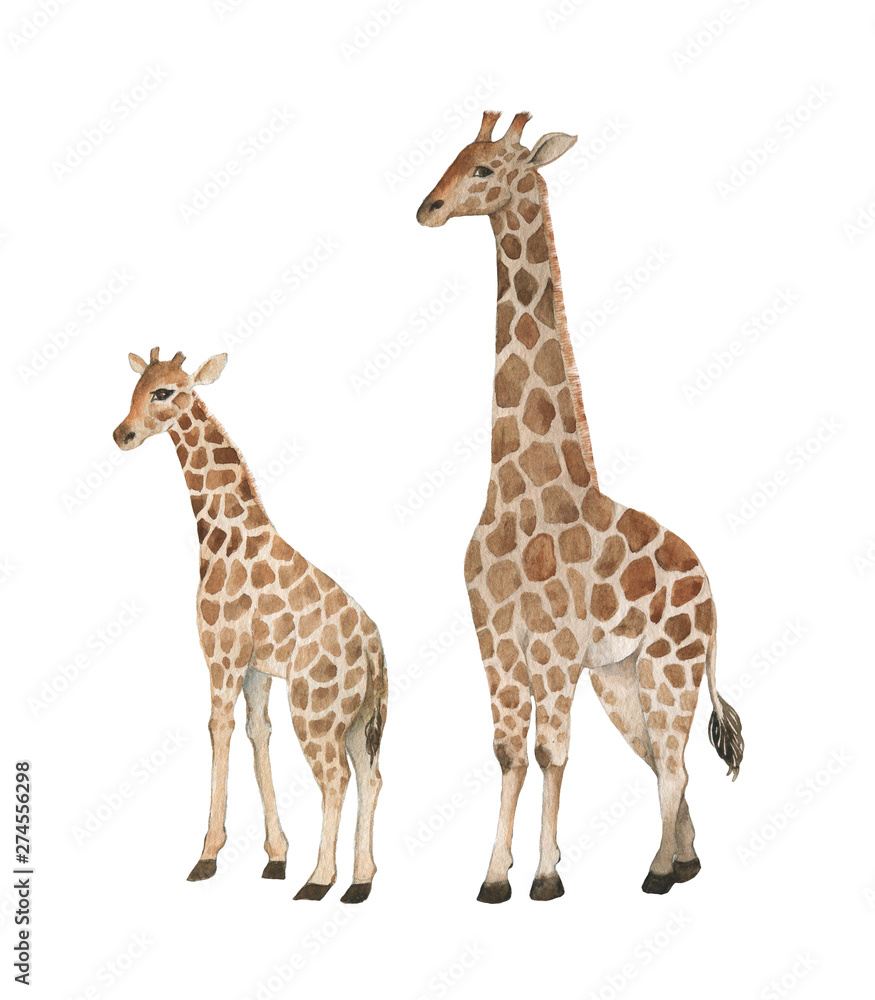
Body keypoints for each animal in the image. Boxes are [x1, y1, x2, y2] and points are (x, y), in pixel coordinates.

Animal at [112, 348, 386, 903]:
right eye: (136, 386)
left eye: (165, 391)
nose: (122, 434)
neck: (223, 537)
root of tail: (375, 649)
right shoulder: (258, 667)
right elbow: (258, 732)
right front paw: (276, 856)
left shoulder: (222, 653)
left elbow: (218, 727)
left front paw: (207, 856)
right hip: (359, 715)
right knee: (371, 777)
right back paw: (360, 882)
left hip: (317, 707)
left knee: (336, 778)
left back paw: (319, 881)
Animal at [416, 112, 743, 899]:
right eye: (456, 156)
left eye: (486, 168)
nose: (428, 209)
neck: (519, 489)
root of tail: (712, 593)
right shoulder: (496, 641)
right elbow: (507, 750)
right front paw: (494, 876)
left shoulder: (554, 648)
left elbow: (550, 753)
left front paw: (543, 876)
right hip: (622, 678)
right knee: (664, 761)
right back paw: (683, 861)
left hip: (671, 664)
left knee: (673, 761)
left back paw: (657, 872)